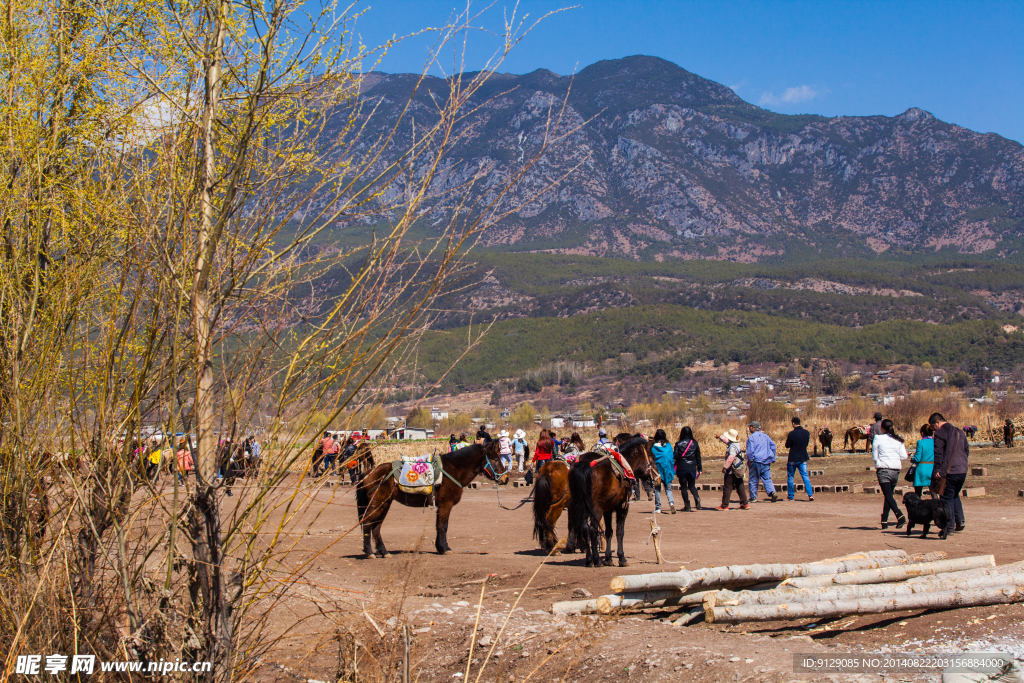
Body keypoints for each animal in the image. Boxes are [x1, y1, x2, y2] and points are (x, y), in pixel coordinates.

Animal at [356, 440, 507, 557]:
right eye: (495, 459)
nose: (505, 478)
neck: (453, 470)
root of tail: (368, 473)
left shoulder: (441, 505)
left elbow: (438, 526)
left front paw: (440, 548)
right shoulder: (446, 504)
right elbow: (443, 526)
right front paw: (446, 549)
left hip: (385, 504)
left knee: (376, 527)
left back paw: (383, 552)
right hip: (377, 503)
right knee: (367, 523)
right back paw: (369, 552)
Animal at [569, 436, 655, 569]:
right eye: (651, 457)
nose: (657, 479)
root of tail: (584, 464)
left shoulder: (607, 510)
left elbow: (609, 532)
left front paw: (608, 558)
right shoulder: (622, 508)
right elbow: (620, 532)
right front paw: (621, 558)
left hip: (581, 505)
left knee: (584, 528)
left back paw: (589, 560)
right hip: (595, 508)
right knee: (592, 529)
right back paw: (596, 560)